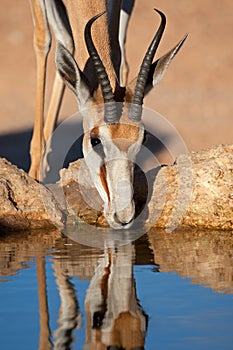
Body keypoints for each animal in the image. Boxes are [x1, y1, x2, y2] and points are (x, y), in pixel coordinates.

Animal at [29, 0, 187, 228]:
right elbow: (43, 41)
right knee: (60, 41)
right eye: (95, 140)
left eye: (143, 138)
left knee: (69, 42)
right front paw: (34, 177)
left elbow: (116, 50)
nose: (124, 217)